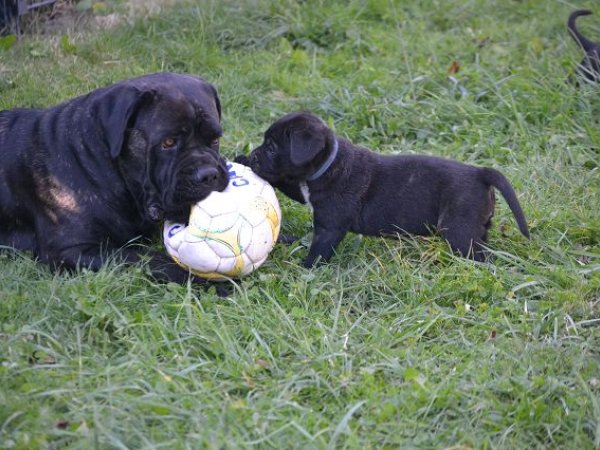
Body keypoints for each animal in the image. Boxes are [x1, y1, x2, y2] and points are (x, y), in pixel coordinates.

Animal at [244, 112, 529, 267]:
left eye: (272, 147)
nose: (254, 155)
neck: (329, 163)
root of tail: (481, 172)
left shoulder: (328, 228)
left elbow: (317, 253)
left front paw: (304, 269)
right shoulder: (304, 192)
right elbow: (287, 182)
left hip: (459, 231)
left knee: (476, 256)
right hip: (477, 228)